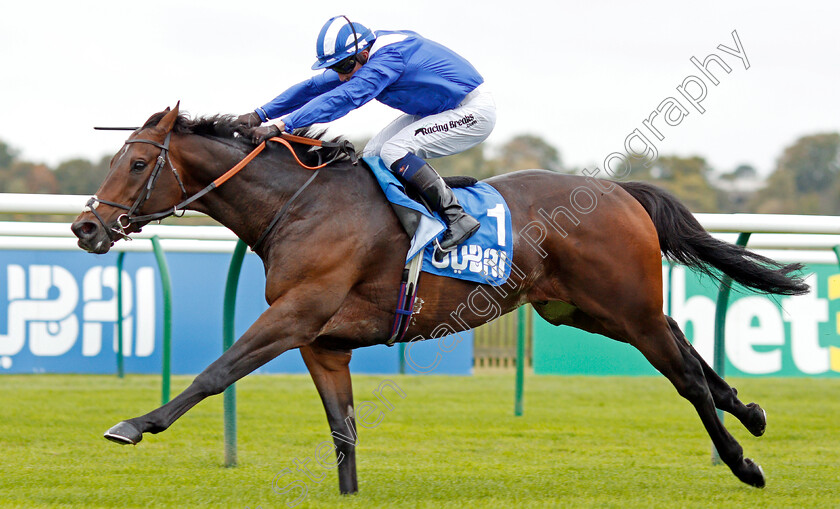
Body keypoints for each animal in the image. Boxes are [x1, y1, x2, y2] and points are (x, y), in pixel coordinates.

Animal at [70, 104, 808, 492]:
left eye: (138, 163)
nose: (85, 227)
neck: (300, 204)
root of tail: (621, 191)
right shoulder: (323, 343)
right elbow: (343, 432)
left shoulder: (295, 314)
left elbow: (216, 371)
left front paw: (134, 423)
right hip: (587, 311)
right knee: (686, 345)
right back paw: (752, 410)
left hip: (626, 306)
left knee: (685, 375)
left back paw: (743, 462)